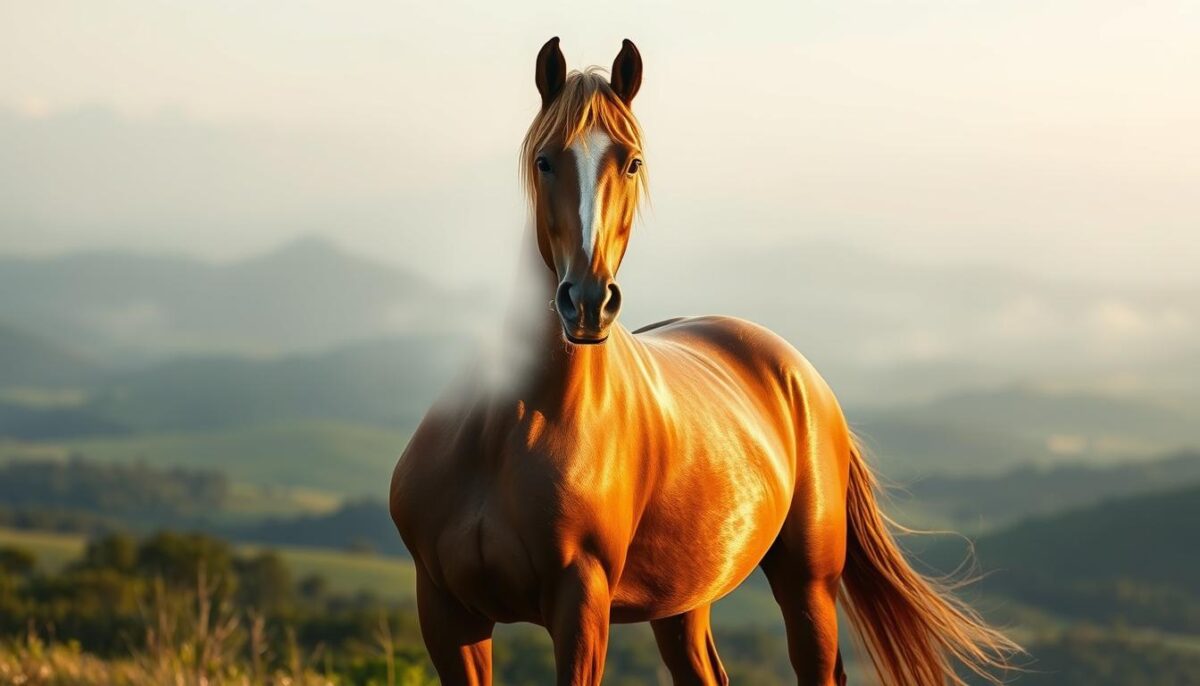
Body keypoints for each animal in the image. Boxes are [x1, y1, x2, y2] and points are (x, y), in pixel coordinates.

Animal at [390, 37, 1018, 686]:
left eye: (632, 162)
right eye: (545, 160)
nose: (587, 301)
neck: (512, 428)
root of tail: (802, 376)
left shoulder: (580, 604)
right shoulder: (445, 611)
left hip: (808, 585)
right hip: (683, 602)